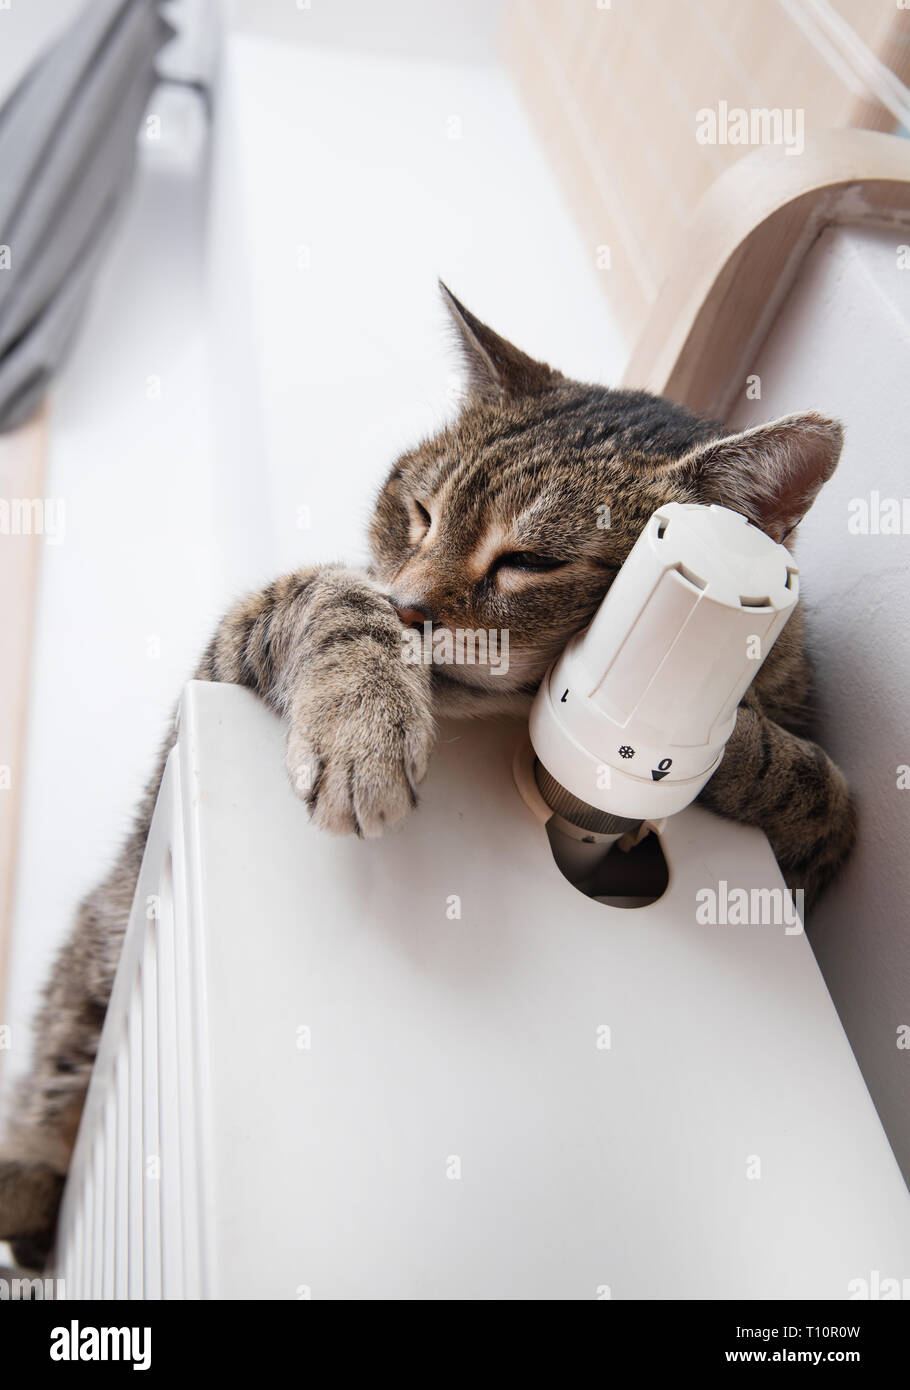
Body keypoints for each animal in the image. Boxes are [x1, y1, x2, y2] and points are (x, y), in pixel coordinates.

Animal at [0, 284, 855, 1273]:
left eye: (531, 561)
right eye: (417, 512)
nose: (411, 605)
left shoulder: (806, 863)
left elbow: (828, 793)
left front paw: (736, 747)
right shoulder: (241, 635)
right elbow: (332, 594)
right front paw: (367, 715)